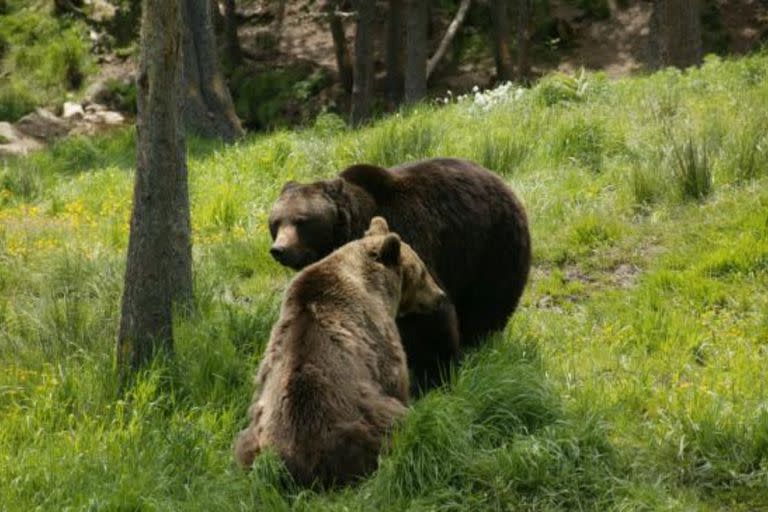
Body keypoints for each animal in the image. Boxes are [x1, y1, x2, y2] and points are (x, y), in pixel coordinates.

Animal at [232, 216, 444, 488]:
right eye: (422, 270)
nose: (440, 295)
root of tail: (303, 462)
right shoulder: (378, 332)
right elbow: (395, 375)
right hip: (368, 421)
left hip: (256, 433)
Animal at [268, 158, 532, 390]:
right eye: (276, 222)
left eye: (302, 221)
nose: (280, 250)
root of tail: (496, 178)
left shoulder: (408, 239)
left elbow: (428, 321)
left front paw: (431, 379)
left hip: (491, 244)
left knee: (487, 303)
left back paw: (478, 343)